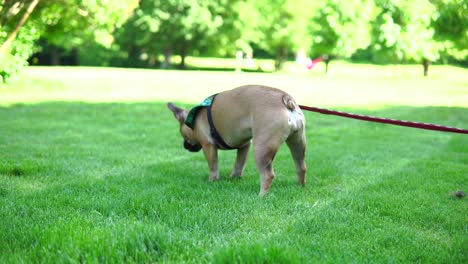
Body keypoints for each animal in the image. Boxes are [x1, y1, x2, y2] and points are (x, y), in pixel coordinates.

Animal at [168, 85, 308, 195]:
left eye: (182, 134)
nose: (185, 145)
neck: (195, 118)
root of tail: (286, 99)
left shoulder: (208, 145)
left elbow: (213, 165)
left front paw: (212, 180)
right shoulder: (244, 145)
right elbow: (239, 164)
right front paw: (233, 178)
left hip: (262, 147)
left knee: (268, 174)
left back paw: (262, 195)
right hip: (298, 142)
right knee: (301, 166)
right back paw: (300, 187)